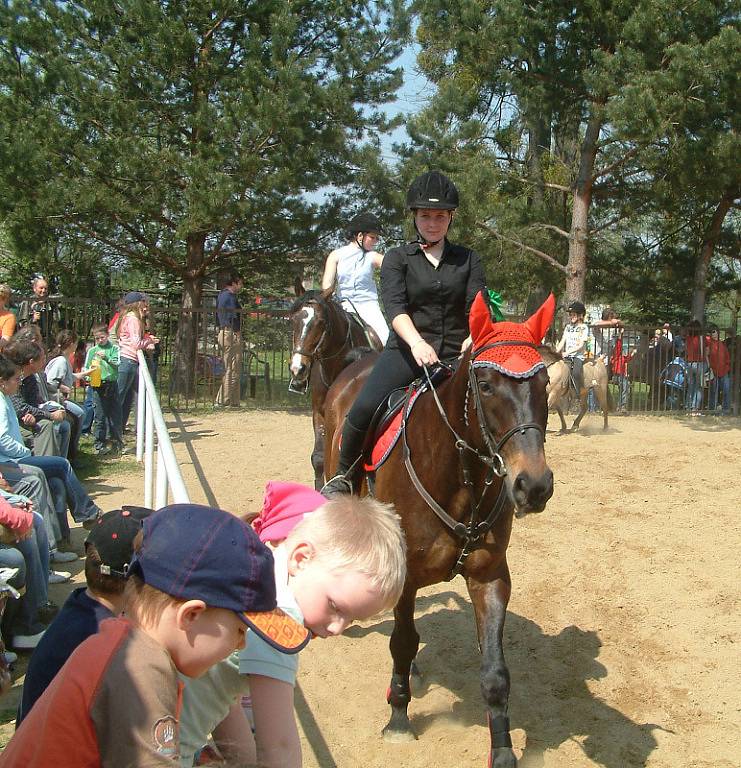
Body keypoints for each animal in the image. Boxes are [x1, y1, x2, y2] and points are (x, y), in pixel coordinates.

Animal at [324, 292, 556, 768]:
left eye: (544, 383)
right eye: (485, 385)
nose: (534, 485)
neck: (459, 478)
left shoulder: (490, 576)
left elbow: (495, 672)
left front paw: (502, 750)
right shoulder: (407, 575)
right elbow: (402, 641)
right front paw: (398, 718)